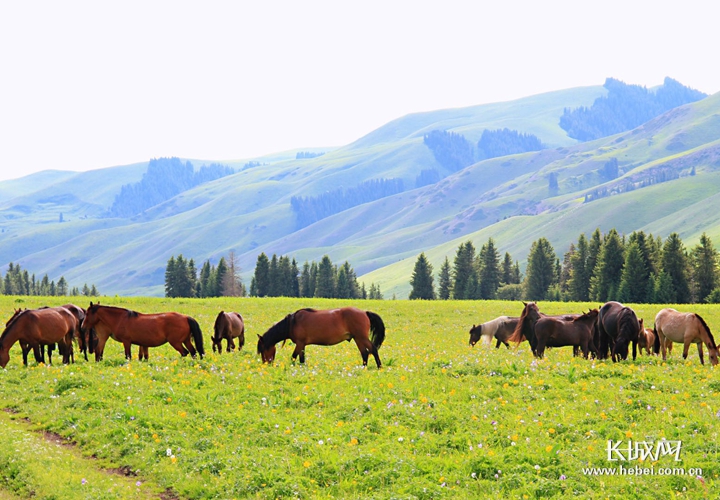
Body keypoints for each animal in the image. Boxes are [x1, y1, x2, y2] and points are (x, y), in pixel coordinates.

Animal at [256, 308, 386, 368]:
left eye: (262, 350)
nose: (266, 364)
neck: (292, 323)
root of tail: (364, 312)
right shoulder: (302, 345)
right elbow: (301, 358)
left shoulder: (299, 343)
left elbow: (293, 357)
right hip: (358, 338)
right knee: (364, 352)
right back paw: (363, 367)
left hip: (361, 338)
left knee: (373, 349)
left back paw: (379, 367)